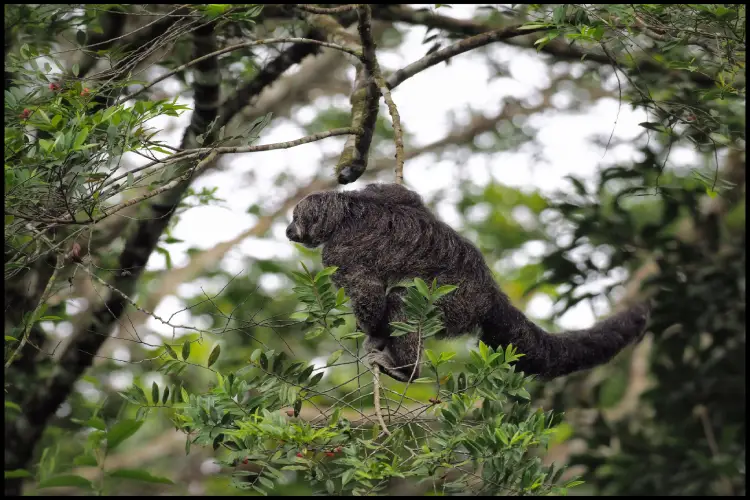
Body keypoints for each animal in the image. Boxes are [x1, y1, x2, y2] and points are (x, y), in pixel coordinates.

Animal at [286, 182, 651, 383]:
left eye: (295, 220)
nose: (289, 230)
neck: (351, 208)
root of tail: (489, 292)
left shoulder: (338, 249)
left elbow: (367, 291)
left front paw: (372, 330)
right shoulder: (381, 191)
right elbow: (410, 195)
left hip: (459, 303)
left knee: (404, 300)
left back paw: (407, 372)